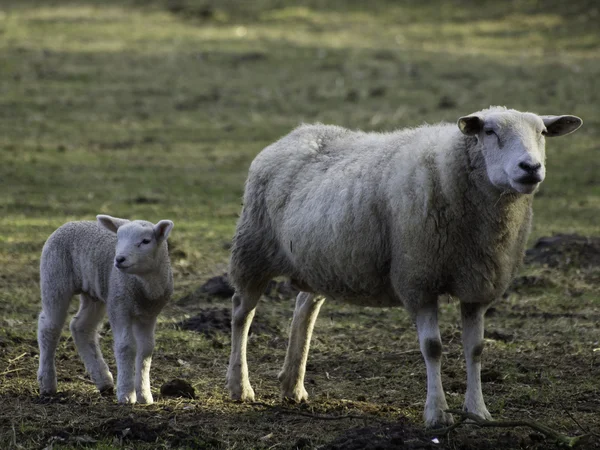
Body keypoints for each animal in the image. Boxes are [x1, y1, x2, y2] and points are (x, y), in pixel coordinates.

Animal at [37, 214, 175, 404]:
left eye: (146, 241)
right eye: (118, 239)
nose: (119, 259)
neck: (143, 286)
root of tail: (70, 222)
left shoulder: (149, 315)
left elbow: (146, 349)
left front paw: (145, 395)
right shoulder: (119, 305)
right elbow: (126, 346)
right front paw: (126, 394)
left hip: (94, 293)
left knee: (81, 327)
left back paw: (104, 380)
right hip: (54, 277)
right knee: (49, 327)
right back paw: (47, 383)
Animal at [227, 107, 584, 428]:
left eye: (542, 133)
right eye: (489, 132)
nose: (531, 167)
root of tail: (296, 133)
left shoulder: (477, 286)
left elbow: (476, 349)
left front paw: (478, 412)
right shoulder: (418, 279)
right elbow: (433, 348)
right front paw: (437, 413)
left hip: (321, 263)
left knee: (304, 308)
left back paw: (293, 385)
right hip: (252, 251)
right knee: (242, 314)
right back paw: (240, 386)